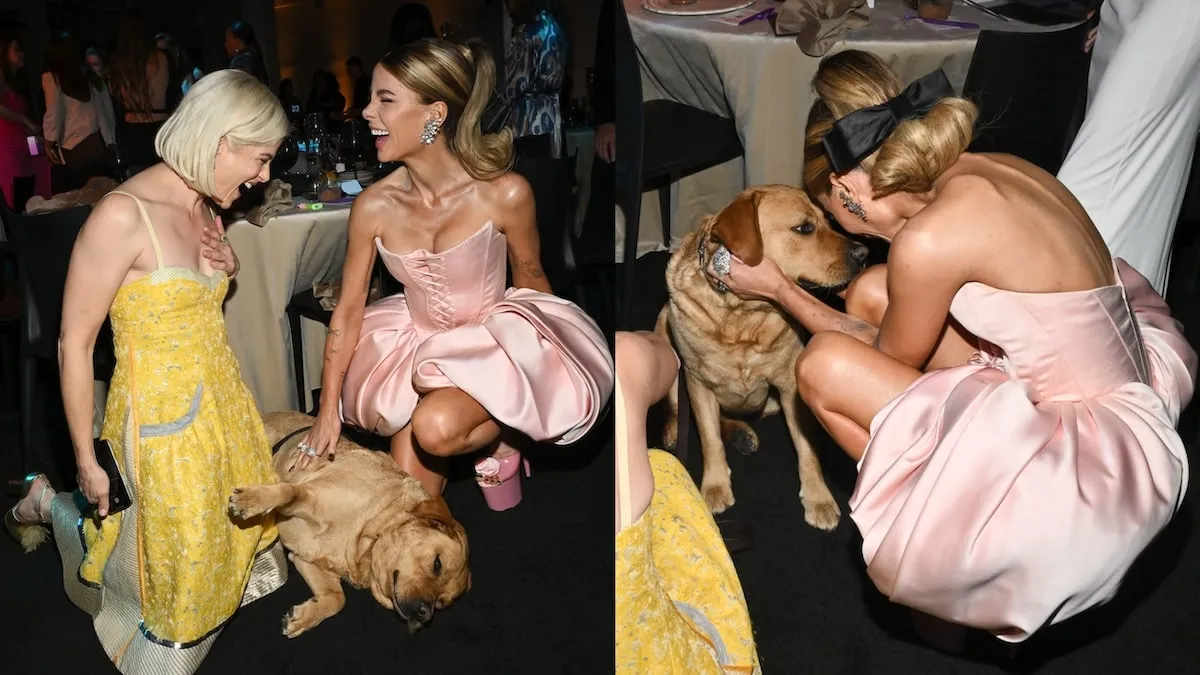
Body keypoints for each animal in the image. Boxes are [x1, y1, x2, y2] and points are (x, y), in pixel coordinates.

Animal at [226, 408, 470, 634]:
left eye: (442, 603)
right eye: (437, 564)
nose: (425, 615)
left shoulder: (304, 559)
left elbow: (337, 599)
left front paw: (305, 617)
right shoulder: (309, 494)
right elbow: (288, 491)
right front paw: (252, 500)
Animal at [657, 184, 864, 530]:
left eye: (828, 220)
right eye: (804, 228)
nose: (864, 254)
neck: (742, 316)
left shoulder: (791, 387)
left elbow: (807, 449)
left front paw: (817, 497)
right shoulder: (697, 382)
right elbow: (709, 439)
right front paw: (715, 485)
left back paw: (742, 434)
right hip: (663, 331)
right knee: (677, 406)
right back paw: (677, 430)